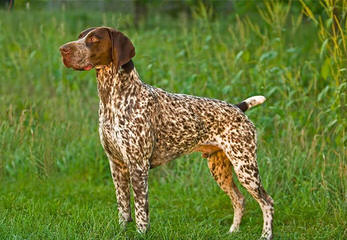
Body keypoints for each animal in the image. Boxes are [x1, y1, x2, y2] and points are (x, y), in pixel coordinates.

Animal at [61, 26, 276, 240]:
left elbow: (141, 211)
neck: (112, 99)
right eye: (80, 37)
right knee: (239, 199)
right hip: (220, 168)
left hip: (245, 168)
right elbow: (123, 208)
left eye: (94, 39)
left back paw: (266, 235)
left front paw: (141, 233)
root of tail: (239, 108)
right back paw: (232, 231)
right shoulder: (117, 165)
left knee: (267, 202)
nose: (63, 50)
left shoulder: (138, 166)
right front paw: (122, 232)